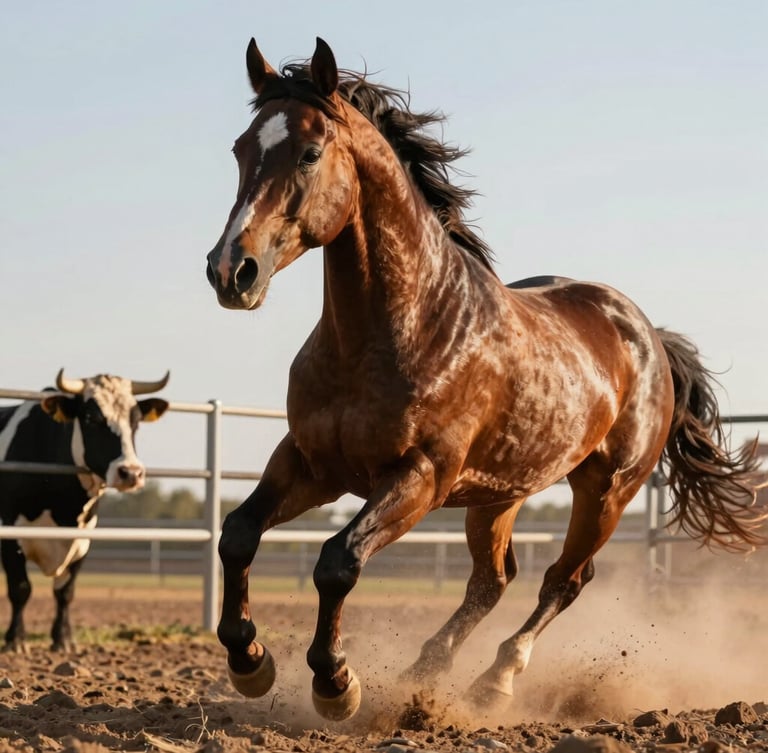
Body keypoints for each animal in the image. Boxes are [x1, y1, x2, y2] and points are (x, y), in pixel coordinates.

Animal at [0, 369, 169, 651]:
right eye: (91, 418)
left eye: (135, 421)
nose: (131, 473)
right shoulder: (10, 535)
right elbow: (20, 588)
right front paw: (16, 640)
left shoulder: (82, 540)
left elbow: (65, 593)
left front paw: (63, 639)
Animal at [205, 37, 765, 721]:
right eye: (241, 148)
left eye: (310, 152)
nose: (231, 270)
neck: (400, 330)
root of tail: (650, 338)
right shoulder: (312, 464)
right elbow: (238, 535)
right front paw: (249, 661)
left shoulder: (420, 477)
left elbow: (339, 560)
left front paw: (335, 682)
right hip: (500, 494)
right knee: (493, 580)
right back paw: (425, 671)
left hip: (606, 490)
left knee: (564, 581)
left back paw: (494, 681)